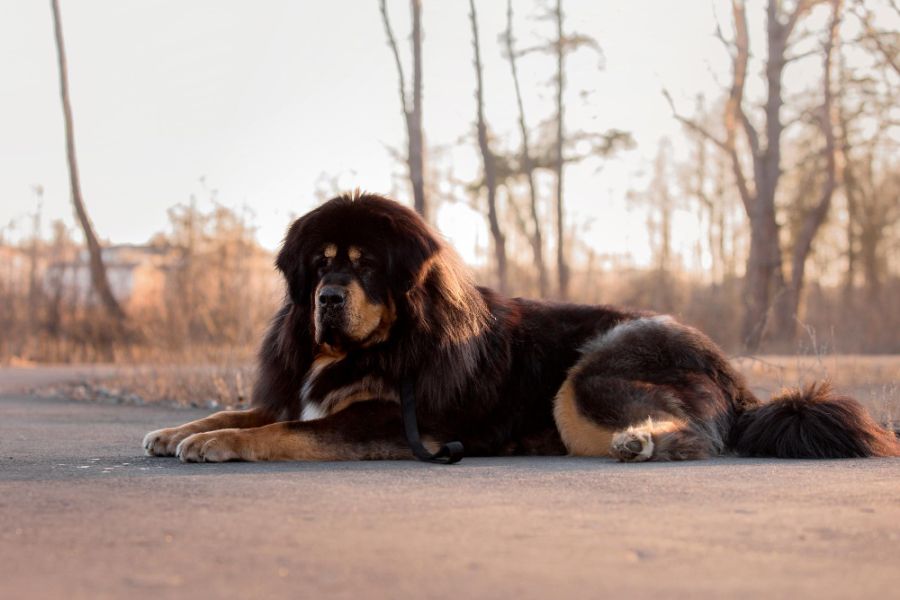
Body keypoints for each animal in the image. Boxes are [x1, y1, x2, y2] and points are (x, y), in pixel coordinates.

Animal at [142, 192, 900, 464]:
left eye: (366, 266)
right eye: (321, 263)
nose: (329, 297)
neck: (384, 342)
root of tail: (731, 372)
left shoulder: (392, 420)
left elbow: (285, 431)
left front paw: (221, 445)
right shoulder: (298, 391)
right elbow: (249, 409)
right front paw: (181, 430)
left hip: (591, 372)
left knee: (701, 436)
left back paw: (640, 443)